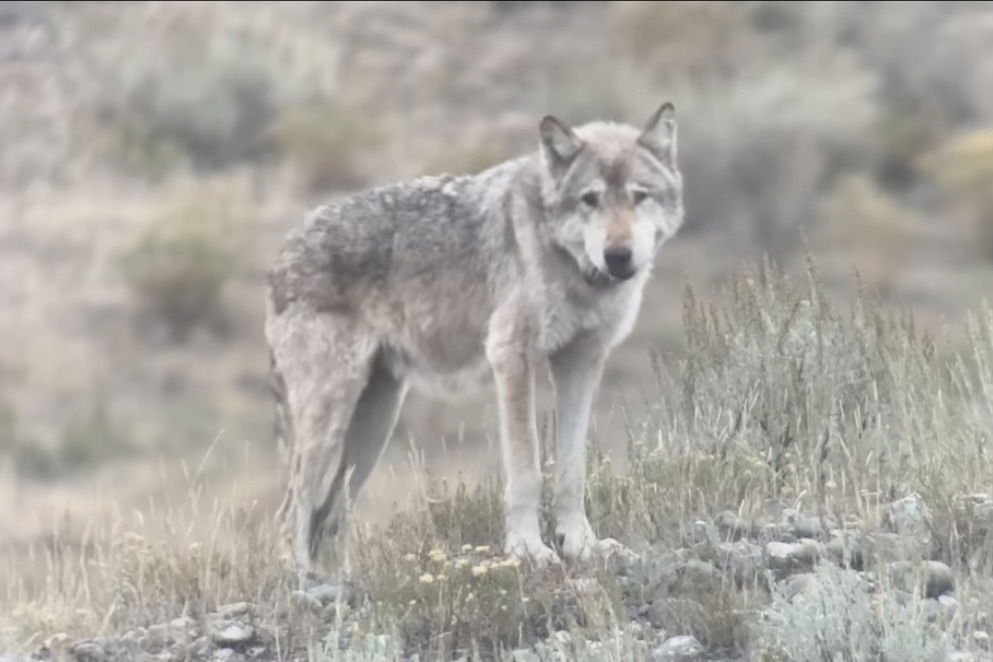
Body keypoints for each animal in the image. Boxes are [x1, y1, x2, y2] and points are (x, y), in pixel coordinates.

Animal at [264, 102, 680, 588]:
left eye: (640, 195)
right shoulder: (511, 357)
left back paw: (339, 582)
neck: (571, 266)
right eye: (590, 199)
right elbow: (526, 468)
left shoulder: (582, 361)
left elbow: (572, 470)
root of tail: (282, 253)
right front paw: (528, 550)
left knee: (329, 514)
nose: (618, 256)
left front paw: (581, 545)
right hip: (328, 418)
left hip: (376, 423)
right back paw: (298, 586)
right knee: (291, 509)